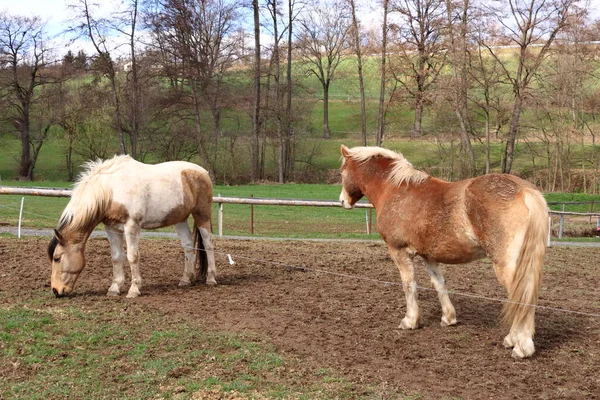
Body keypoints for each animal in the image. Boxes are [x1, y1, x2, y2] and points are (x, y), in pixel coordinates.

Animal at [47, 155, 216, 298]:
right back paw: (186, 280)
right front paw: (114, 288)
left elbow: (132, 256)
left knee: (208, 245)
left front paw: (134, 289)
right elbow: (116, 257)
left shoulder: (131, 226)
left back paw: (211, 278)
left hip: (202, 216)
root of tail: (203, 172)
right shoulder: (112, 228)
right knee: (188, 245)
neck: (111, 189)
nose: (55, 290)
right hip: (180, 219)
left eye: (57, 258)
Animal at [338, 145, 548, 358]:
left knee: (521, 297)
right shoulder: (429, 255)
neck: (395, 190)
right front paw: (448, 318)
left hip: (506, 266)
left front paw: (410, 320)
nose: (342, 201)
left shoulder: (399, 251)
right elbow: (439, 283)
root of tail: (525, 191)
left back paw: (520, 346)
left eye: (342, 171)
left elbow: (409, 285)